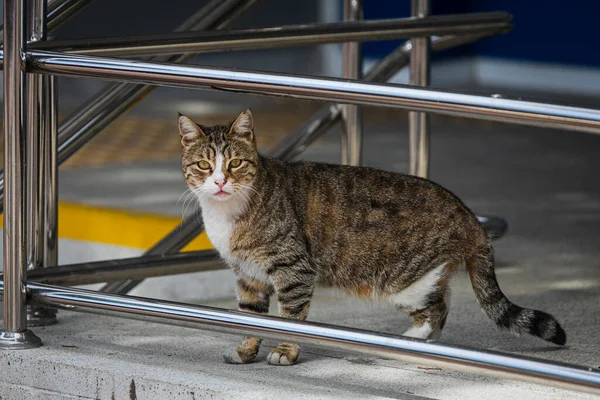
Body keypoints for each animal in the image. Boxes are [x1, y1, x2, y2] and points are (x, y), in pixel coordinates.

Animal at [178, 109, 568, 366]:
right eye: (204, 165)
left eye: (235, 164)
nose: (220, 181)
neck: (227, 212)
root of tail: (468, 215)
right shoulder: (249, 276)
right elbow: (249, 315)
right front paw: (246, 351)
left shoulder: (295, 270)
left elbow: (289, 318)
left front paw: (285, 352)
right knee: (442, 303)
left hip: (403, 280)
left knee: (437, 309)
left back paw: (412, 342)